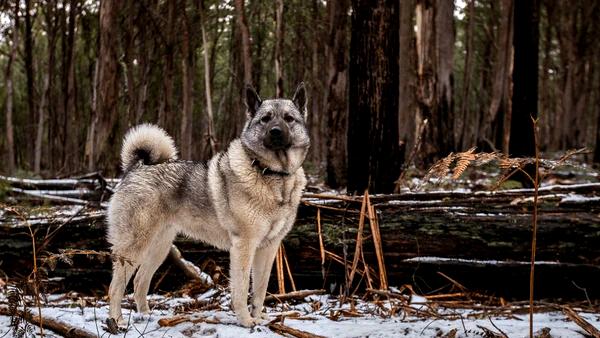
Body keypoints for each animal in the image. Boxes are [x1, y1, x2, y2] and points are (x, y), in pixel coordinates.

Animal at [106, 83, 310, 326]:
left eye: (289, 118)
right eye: (265, 119)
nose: (276, 131)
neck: (273, 175)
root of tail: (136, 168)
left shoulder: (268, 248)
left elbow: (260, 290)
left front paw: (258, 318)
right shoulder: (244, 246)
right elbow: (241, 289)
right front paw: (246, 321)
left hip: (159, 247)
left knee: (139, 282)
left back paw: (146, 316)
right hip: (134, 247)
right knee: (115, 287)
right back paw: (116, 321)